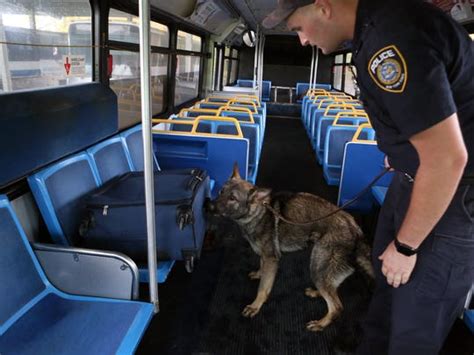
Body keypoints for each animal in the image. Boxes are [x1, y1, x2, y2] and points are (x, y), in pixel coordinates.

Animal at [207, 165, 374, 332]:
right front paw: (259, 274)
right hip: (323, 270)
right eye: (221, 191)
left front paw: (255, 306)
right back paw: (316, 293)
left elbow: (263, 288)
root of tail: (356, 230)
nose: (209, 206)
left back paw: (320, 324)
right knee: (331, 290)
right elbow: (262, 268)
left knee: (336, 306)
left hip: (317, 265)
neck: (258, 212)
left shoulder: (271, 259)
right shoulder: (266, 256)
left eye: (232, 198)